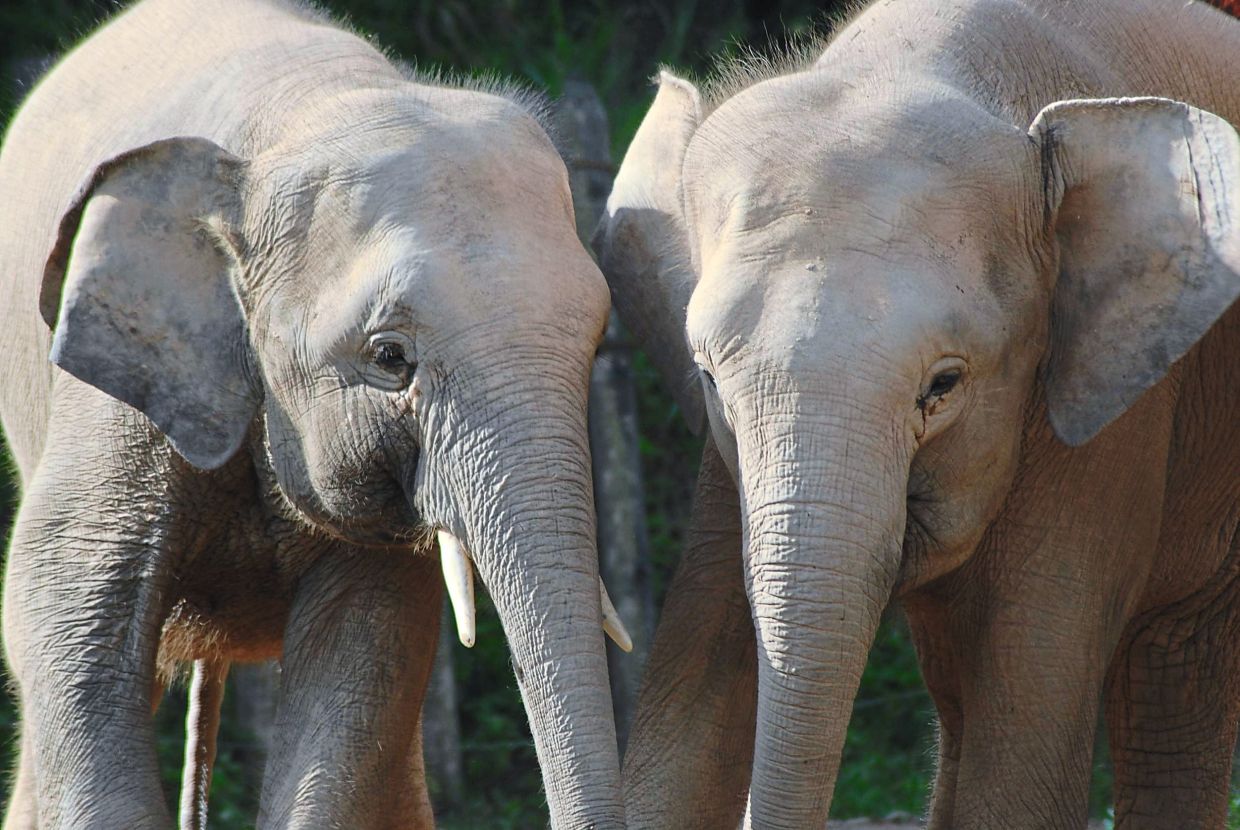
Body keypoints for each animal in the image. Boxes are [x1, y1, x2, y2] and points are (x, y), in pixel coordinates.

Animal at [0, 0, 631, 827]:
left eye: (596, 341)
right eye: (390, 357)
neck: (313, 107)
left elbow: (365, 648)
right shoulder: (115, 401)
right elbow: (64, 613)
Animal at [593, 0, 1240, 827]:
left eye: (944, 384)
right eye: (707, 377)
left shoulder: (1112, 419)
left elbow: (1021, 761)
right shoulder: (723, 467)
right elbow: (684, 729)